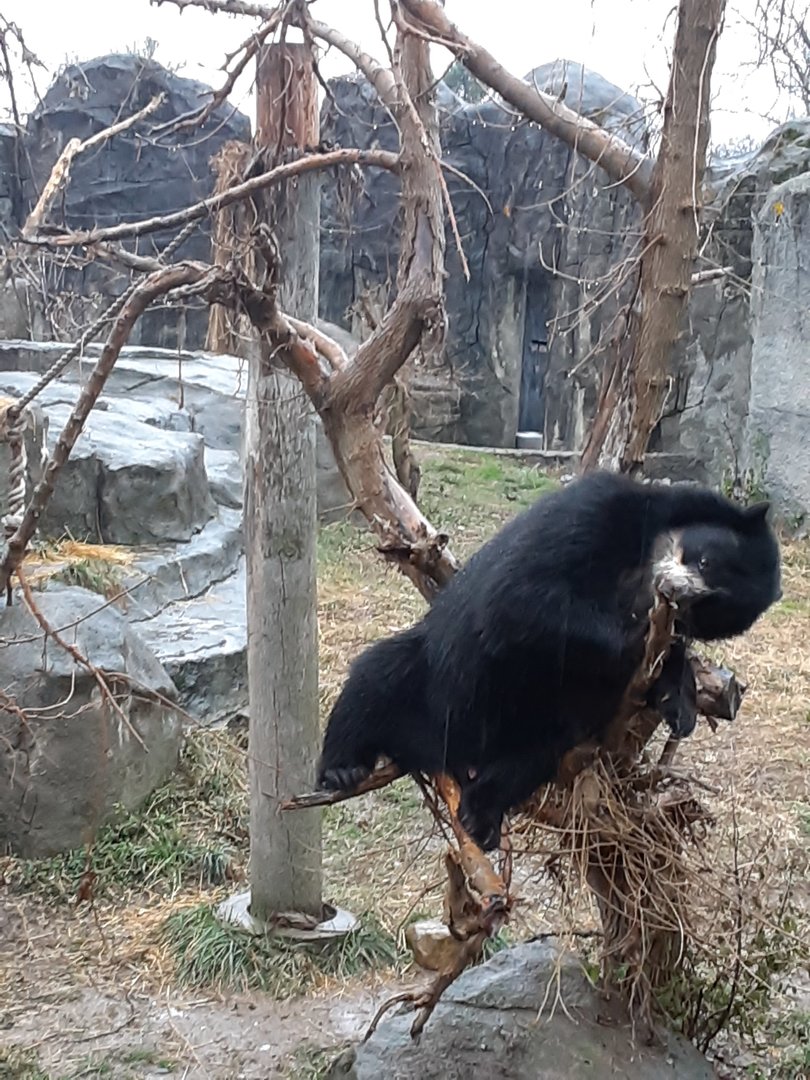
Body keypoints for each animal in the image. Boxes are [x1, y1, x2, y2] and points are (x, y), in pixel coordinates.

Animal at [317, 471, 781, 850]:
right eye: (704, 559)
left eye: (707, 606)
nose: (673, 591)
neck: (638, 580)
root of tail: (444, 756)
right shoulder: (599, 514)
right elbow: (523, 598)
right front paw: (642, 645)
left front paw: (679, 703)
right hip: (431, 682)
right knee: (375, 679)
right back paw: (342, 770)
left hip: (538, 727)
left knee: (529, 760)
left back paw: (481, 818)